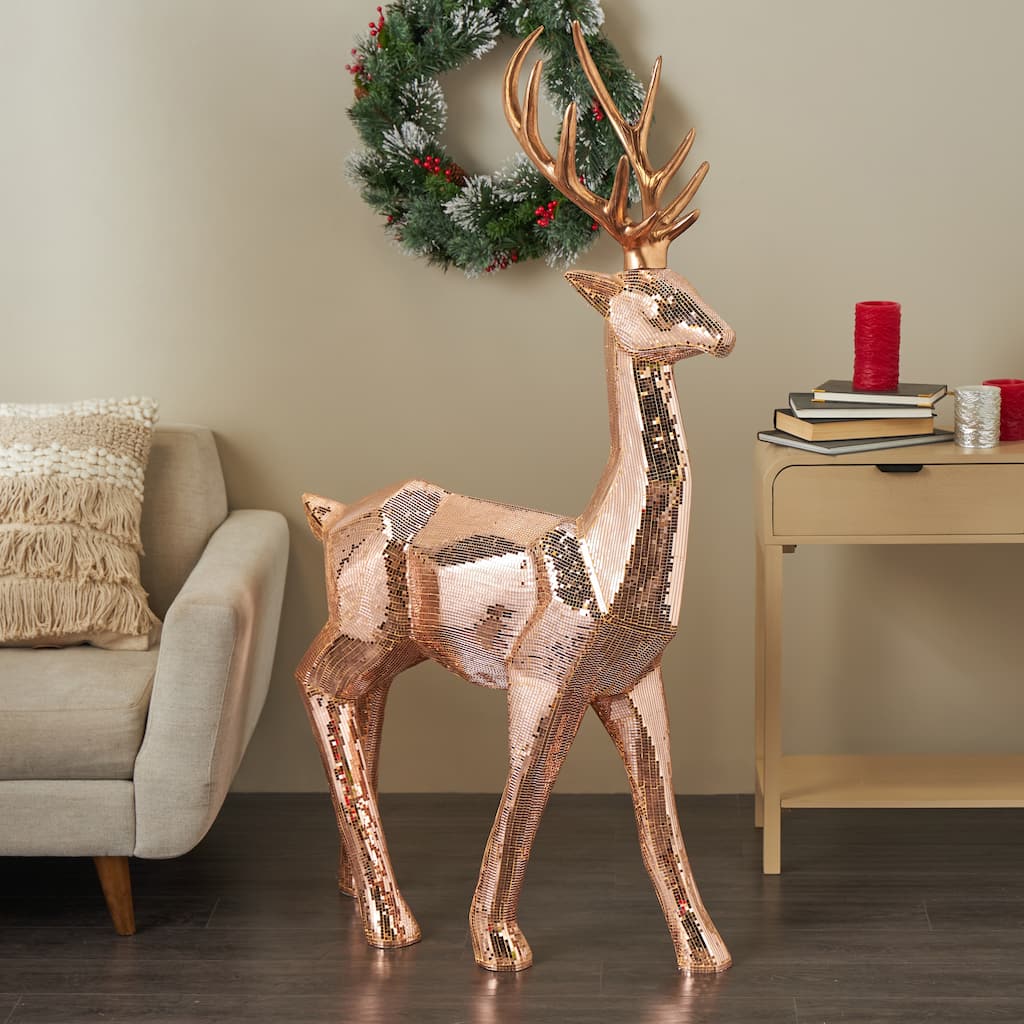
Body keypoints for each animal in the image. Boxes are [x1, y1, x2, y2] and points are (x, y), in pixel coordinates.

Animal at [296, 22, 735, 974]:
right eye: (648, 295)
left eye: (691, 282)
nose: (724, 334)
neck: (606, 562)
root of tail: (328, 512)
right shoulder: (543, 669)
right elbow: (527, 789)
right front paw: (497, 943)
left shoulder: (632, 679)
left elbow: (660, 810)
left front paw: (705, 951)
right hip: (359, 621)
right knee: (318, 688)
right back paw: (392, 920)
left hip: (391, 644)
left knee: (356, 704)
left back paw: (356, 893)